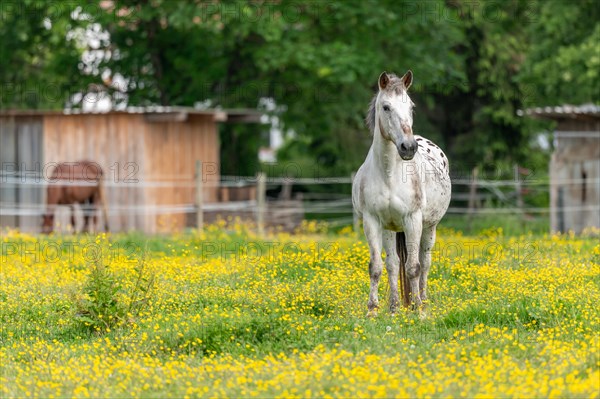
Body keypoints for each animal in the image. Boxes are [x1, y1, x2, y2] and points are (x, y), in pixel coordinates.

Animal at [352, 70, 450, 318]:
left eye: (411, 107)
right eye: (386, 107)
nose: (408, 147)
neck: (389, 174)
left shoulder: (413, 220)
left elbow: (414, 267)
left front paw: (419, 311)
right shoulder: (372, 221)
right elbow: (377, 267)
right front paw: (372, 310)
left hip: (429, 227)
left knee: (425, 262)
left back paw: (423, 301)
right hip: (389, 229)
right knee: (393, 264)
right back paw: (395, 307)